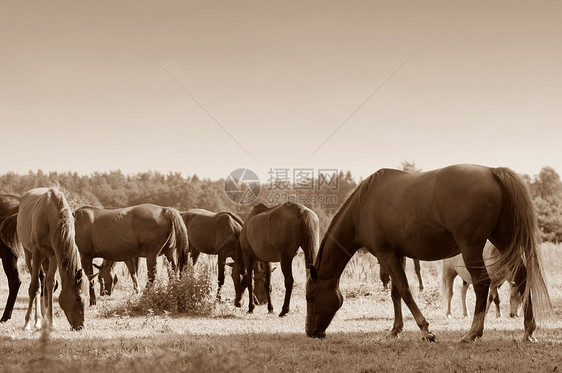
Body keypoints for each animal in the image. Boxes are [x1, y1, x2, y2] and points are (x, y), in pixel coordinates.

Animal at [0, 187, 89, 330]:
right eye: (77, 297)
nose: (80, 326)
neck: (51, 218)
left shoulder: (54, 256)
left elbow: (50, 285)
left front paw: (51, 322)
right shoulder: (37, 253)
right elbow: (34, 287)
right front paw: (27, 323)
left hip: (45, 260)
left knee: (44, 281)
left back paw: (41, 319)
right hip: (28, 254)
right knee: (36, 283)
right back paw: (35, 321)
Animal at [304, 164, 548, 342]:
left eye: (310, 296)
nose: (310, 332)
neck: (362, 207)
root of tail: (492, 172)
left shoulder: (385, 254)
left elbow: (405, 291)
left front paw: (425, 330)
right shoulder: (397, 255)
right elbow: (396, 293)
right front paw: (396, 329)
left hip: (471, 247)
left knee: (482, 284)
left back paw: (472, 333)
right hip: (504, 242)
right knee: (522, 276)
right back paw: (528, 330)